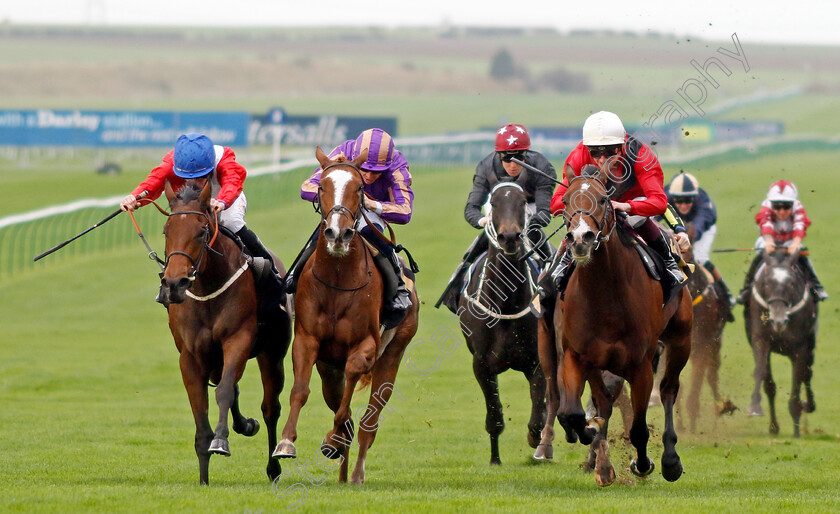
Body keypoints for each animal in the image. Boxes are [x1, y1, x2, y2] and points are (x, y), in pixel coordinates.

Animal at [161, 178, 292, 482]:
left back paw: (273, 466)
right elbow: (201, 409)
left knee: (270, 408)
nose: (174, 283)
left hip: (273, 354)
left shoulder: (238, 340)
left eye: (201, 232)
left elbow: (223, 392)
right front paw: (203, 477)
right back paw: (245, 425)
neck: (207, 285)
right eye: (166, 230)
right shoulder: (189, 356)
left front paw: (220, 441)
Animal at [274, 146, 420, 482]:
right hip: (329, 367)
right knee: (341, 404)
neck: (338, 280)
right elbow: (300, 390)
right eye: (321, 186)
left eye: (360, 188)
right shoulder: (307, 340)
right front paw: (286, 442)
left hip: (393, 353)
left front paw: (333, 440)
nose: (338, 233)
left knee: (369, 420)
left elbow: (350, 392)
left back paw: (354, 473)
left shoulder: (365, 345)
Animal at [456, 181, 548, 464]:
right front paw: (495, 459)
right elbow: (494, 416)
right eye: (494, 203)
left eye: (522, 201)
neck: (506, 303)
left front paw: (535, 439)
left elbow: (539, 411)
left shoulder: (536, 361)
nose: (509, 237)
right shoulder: (481, 364)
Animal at [548, 165, 692, 484]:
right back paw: (602, 465)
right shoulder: (575, 356)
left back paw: (670, 460)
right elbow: (572, 413)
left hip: (681, 339)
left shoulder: (640, 364)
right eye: (564, 200)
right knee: (603, 399)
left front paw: (644, 463)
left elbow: (638, 428)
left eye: (603, 200)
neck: (605, 295)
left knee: (668, 389)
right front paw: (589, 432)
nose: (581, 238)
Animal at [744, 248, 816, 436]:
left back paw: (808, 406)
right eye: (766, 283)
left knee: (807, 373)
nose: (778, 321)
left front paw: (797, 426)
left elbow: (798, 380)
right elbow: (763, 376)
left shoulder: (800, 348)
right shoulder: (760, 340)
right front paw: (756, 408)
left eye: (791, 283)